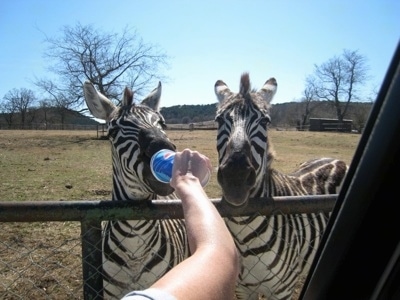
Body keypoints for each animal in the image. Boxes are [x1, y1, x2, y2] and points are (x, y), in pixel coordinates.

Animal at [214, 73, 348, 300]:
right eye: (219, 120)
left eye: (265, 121)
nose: (235, 177)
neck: (244, 236)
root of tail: (335, 159)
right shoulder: (242, 290)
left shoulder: (283, 290)